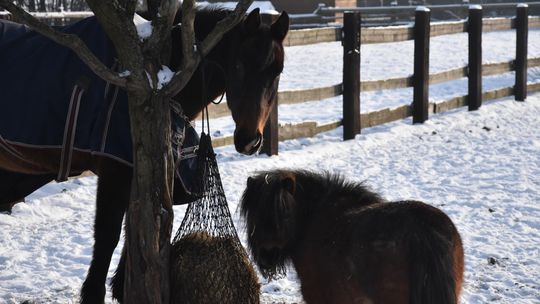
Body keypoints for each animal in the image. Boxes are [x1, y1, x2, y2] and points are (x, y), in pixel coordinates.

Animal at [0, 7, 292, 304]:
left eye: (277, 72)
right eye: (239, 66)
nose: (250, 140)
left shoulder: (138, 169)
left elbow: (138, 229)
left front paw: (122, 287)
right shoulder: (115, 170)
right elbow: (108, 235)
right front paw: (94, 293)